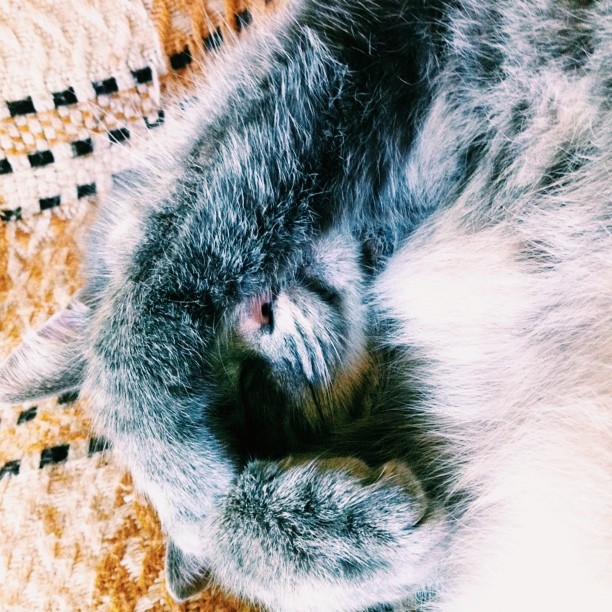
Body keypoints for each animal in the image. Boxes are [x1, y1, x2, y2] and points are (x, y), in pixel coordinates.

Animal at [1, 0, 612, 608]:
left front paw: (197, 478)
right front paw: (337, 548)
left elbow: (146, 308)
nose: (264, 315)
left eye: (244, 388)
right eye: (261, 396)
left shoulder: (324, 60)